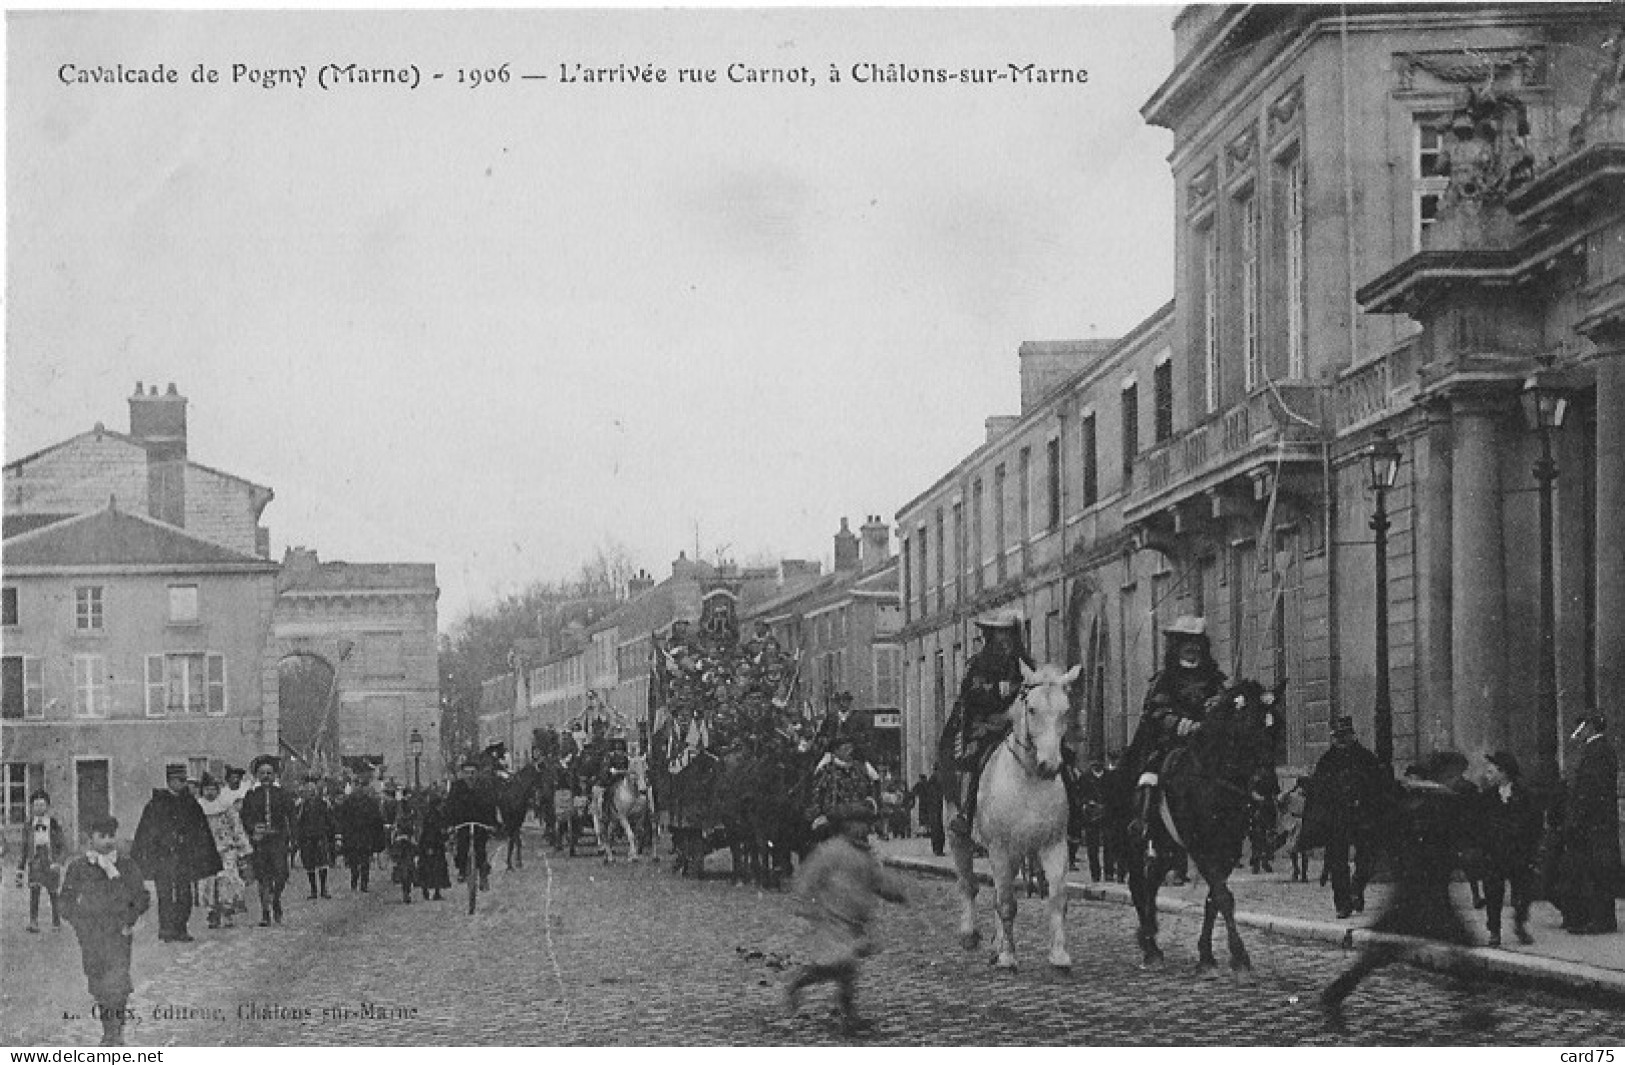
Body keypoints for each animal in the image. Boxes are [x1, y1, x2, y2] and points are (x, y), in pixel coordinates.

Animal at [942, 663, 1079, 969]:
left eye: (1066, 709)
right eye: (1032, 709)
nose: (1050, 765)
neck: (1029, 778)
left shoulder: (1054, 845)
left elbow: (1056, 898)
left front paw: (1059, 955)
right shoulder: (1000, 848)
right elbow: (1006, 902)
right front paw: (1008, 956)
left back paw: (996, 944)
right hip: (959, 838)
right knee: (969, 884)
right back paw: (970, 935)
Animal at [1131, 679, 1280, 969]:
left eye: (1275, 726)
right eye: (1246, 726)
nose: (1267, 785)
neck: (1213, 780)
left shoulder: (1228, 850)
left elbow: (1214, 898)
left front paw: (1207, 953)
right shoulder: (1201, 848)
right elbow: (1223, 896)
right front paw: (1239, 954)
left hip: (1168, 847)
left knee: (1151, 880)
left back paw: (1150, 941)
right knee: (1142, 883)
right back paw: (1149, 944)